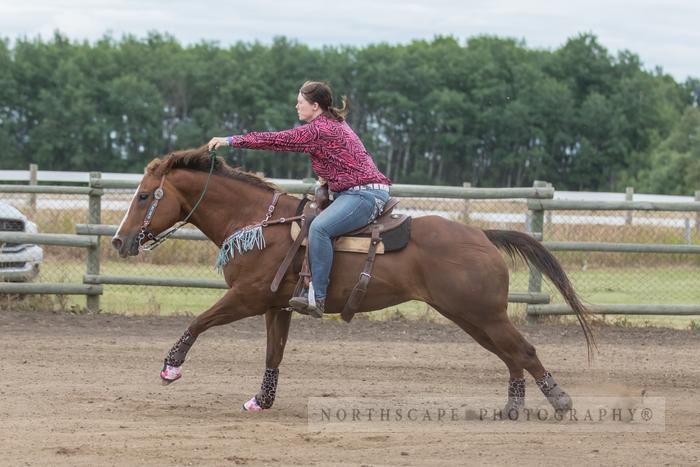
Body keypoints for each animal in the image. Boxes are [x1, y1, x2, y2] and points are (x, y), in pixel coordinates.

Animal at [112, 148, 592, 414]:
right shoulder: (276, 306)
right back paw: (513, 407)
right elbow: (274, 353)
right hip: (471, 317)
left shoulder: (247, 297)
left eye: (143, 195)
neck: (258, 223)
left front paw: (171, 367)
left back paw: (560, 401)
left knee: (523, 351)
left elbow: (198, 321)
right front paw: (261, 401)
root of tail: (482, 234)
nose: (119, 241)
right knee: (511, 356)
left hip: (483, 314)